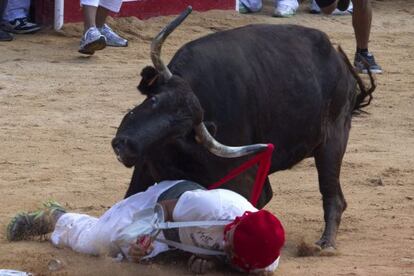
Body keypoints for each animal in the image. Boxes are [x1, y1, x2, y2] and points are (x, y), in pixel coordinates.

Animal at [112, 15, 376, 250]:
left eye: (179, 132)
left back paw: (325, 243)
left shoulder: (244, 180)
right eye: (154, 99)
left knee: (333, 194)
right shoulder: (144, 167)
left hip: (333, 142)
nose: (125, 146)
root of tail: (340, 63)